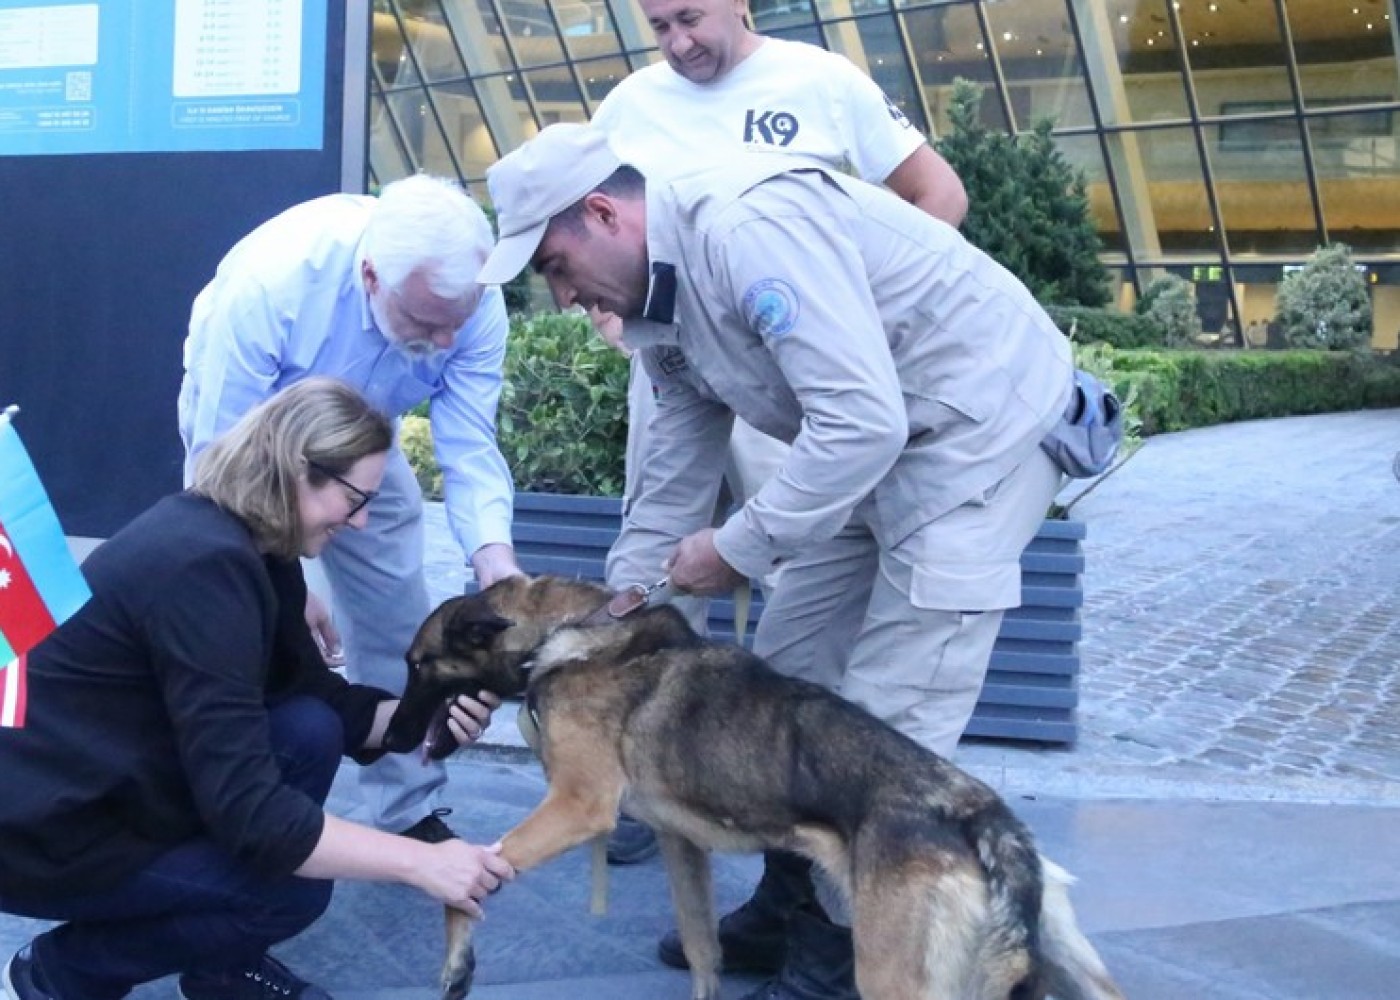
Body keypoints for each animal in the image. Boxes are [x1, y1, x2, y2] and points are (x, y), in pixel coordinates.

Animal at [383, 577, 1125, 997]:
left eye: (417, 666)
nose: (386, 739)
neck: (575, 627)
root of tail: (977, 809)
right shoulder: (681, 845)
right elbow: (703, 952)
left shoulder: (576, 808)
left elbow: (468, 884)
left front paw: (457, 964)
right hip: (1069, 968)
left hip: (895, 975)